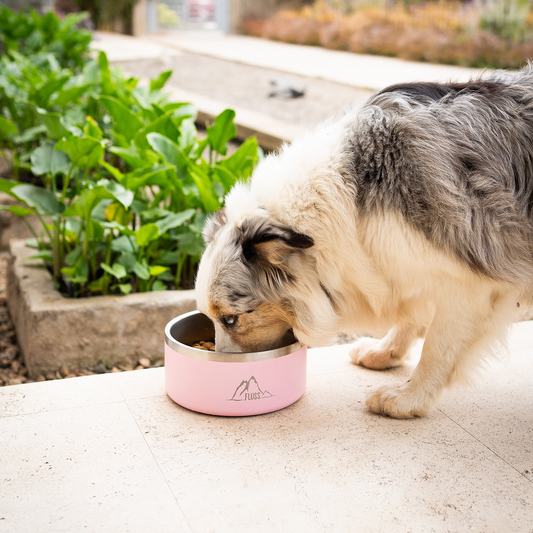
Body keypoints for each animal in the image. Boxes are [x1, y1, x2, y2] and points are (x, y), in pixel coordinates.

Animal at [194, 65, 532, 416]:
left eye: (230, 319)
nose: (222, 369)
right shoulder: (412, 263)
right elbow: (414, 314)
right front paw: (386, 352)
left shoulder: (473, 285)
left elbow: (439, 347)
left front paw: (408, 399)